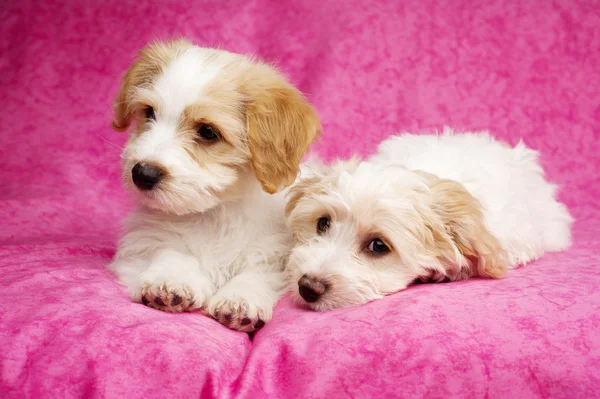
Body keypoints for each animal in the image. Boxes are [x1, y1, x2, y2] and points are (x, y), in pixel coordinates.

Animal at [109, 39, 322, 332]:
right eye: (149, 113)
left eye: (208, 132)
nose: (142, 173)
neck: (215, 213)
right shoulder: (143, 241)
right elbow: (171, 250)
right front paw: (171, 279)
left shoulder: (275, 255)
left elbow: (258, 273)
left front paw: (241, 298)